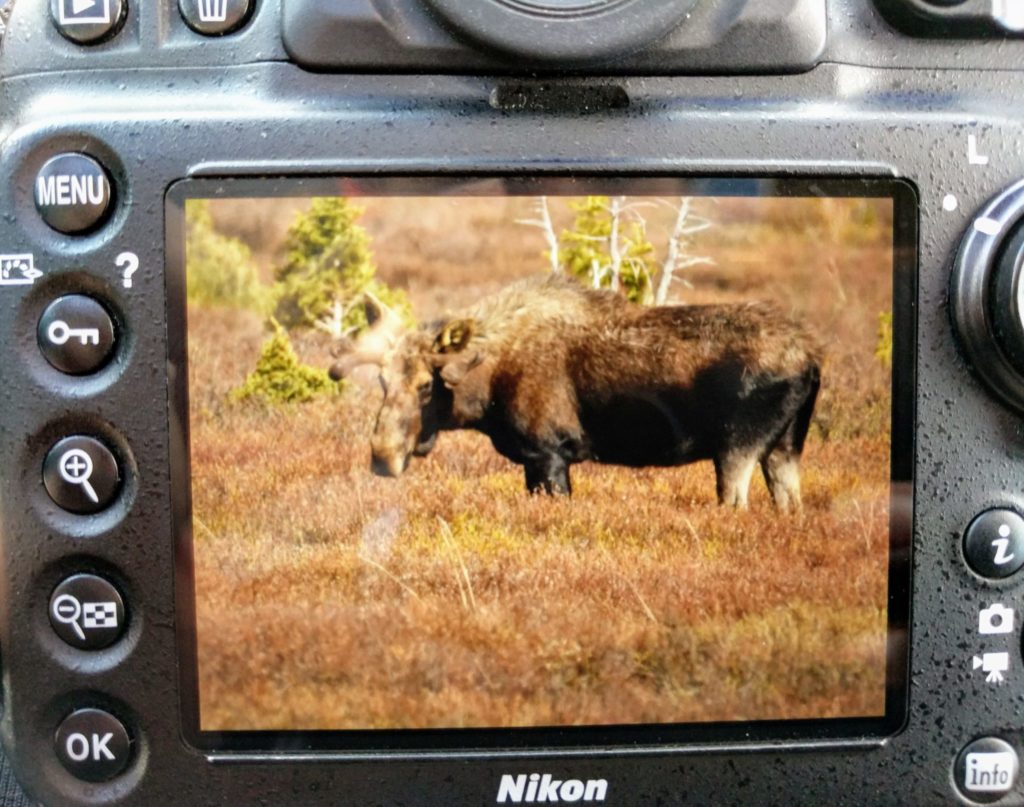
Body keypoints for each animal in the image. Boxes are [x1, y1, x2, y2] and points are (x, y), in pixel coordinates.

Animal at [331, 274, 819, 507]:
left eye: (426, 385)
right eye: (382, 381)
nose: (383, 458)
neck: (486, 390)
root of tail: (813, 360)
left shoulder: (549, 452)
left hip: (737, 448)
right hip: (785, 446)